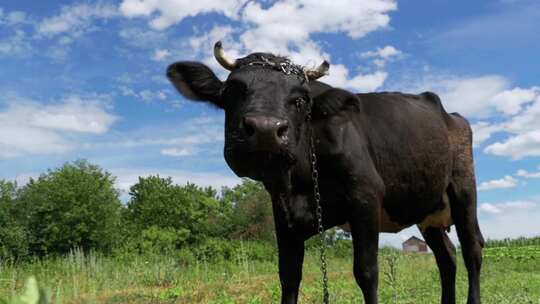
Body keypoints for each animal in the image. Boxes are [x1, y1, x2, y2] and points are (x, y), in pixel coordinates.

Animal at [167, 42, 484, 304]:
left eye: (301, 100)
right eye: (233, 90)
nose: (266, 129)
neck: (301, 181)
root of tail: (450, 115)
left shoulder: (366, 195)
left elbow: (366, 271)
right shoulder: (283, 210)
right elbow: (288, 275)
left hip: (463, 189)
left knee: (472, 251)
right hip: (428, 210)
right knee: (447, 257)